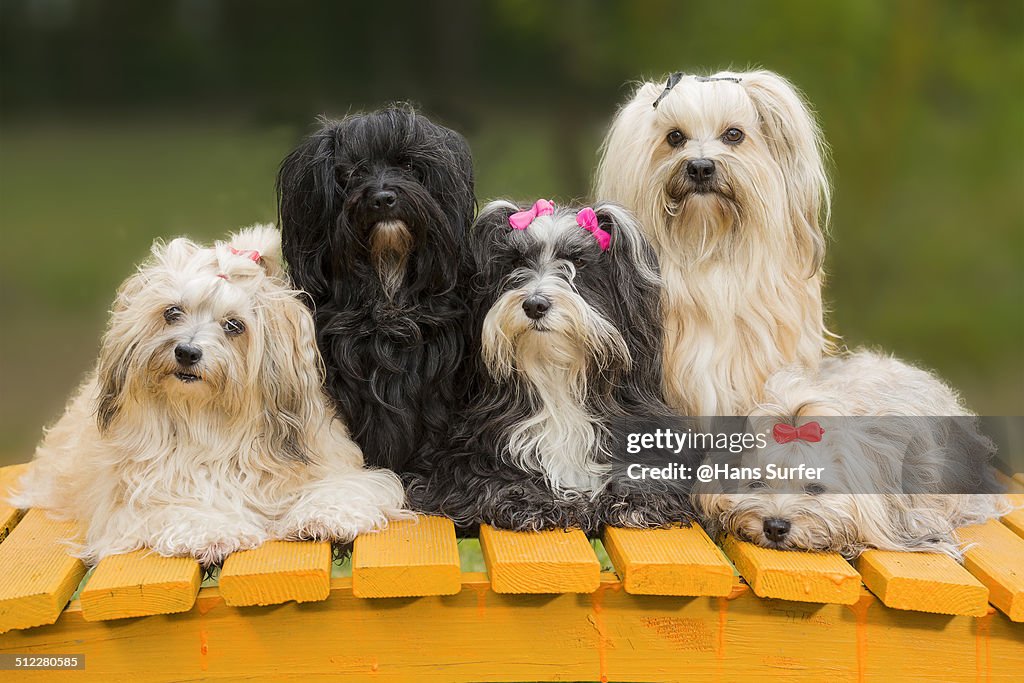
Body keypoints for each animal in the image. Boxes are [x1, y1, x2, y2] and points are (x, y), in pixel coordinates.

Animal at [9, 224, 407, 565]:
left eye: (234, 325)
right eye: (172, 312)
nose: (187, 352)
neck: (209, 421)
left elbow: (347, 487)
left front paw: (324, 515)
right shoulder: (135, 504)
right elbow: (179, 511)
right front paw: (215, 532)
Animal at [407, 200, 704, 532]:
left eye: (578, 261)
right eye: (516, 261)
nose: (535, 304)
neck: (556, 377)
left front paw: (638, 500)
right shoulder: (464, 454)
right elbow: (491, 480)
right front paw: (532, 502)